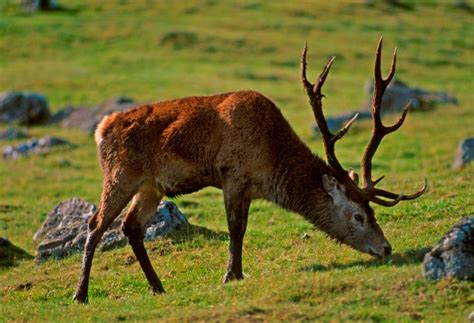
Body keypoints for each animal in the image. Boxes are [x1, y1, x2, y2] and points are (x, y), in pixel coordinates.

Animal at [73, 38, 426, 304]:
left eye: (371, 211)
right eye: (358, 216)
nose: (386, 247)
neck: (270, 159)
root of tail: (101, 129)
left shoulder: (248, 188)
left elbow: (241, 228)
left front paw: (238, 272)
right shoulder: (233, 174)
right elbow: (235, 228)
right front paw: (230, 275)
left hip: (151, 186)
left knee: (131, 227)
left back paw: (157, 287)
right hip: (120, 174)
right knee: (96, 223)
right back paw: (81, 293)